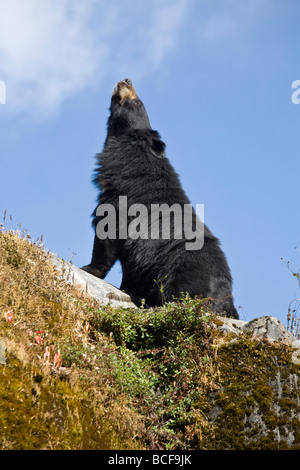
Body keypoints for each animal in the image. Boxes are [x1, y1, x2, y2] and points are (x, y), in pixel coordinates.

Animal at [81, 79, 238, 320]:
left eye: (137, 102)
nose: (126, 79)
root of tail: (227, 301)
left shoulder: (119, 197)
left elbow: (106, 232)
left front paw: (88, 268)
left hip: (179, 275)